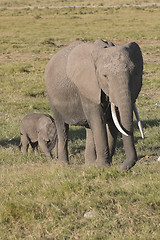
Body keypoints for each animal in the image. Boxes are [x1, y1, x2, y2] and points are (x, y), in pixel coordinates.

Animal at [45, 40, 144, 170]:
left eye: (135, 73)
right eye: (105, 76)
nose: (122, 168)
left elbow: (113, 122)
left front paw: (102, 165)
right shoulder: (87, 87)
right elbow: (98, 119)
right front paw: (103, 166)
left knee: (89, 127)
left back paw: (89, 164)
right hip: (53, 98)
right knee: (62, 127)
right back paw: (63, 165)